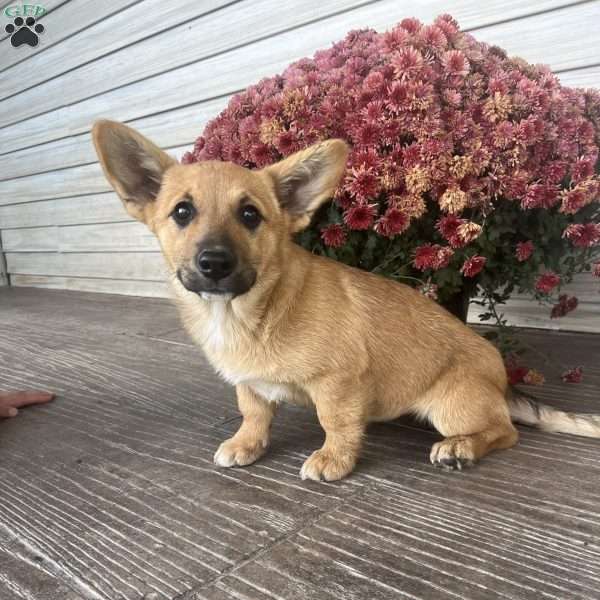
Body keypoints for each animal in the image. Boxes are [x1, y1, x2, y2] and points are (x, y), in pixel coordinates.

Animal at [92, 122, 600, 482]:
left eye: (250, 215)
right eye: (182, 212)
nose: (214, 262)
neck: (247, 312)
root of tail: (501, 383)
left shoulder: (338, 383)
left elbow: (335, 422)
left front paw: (333, 459)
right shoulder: (249, 385)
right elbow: (254, 413)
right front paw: (246, 444)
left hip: (452, 406)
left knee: (505, 432)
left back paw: (461, 448)